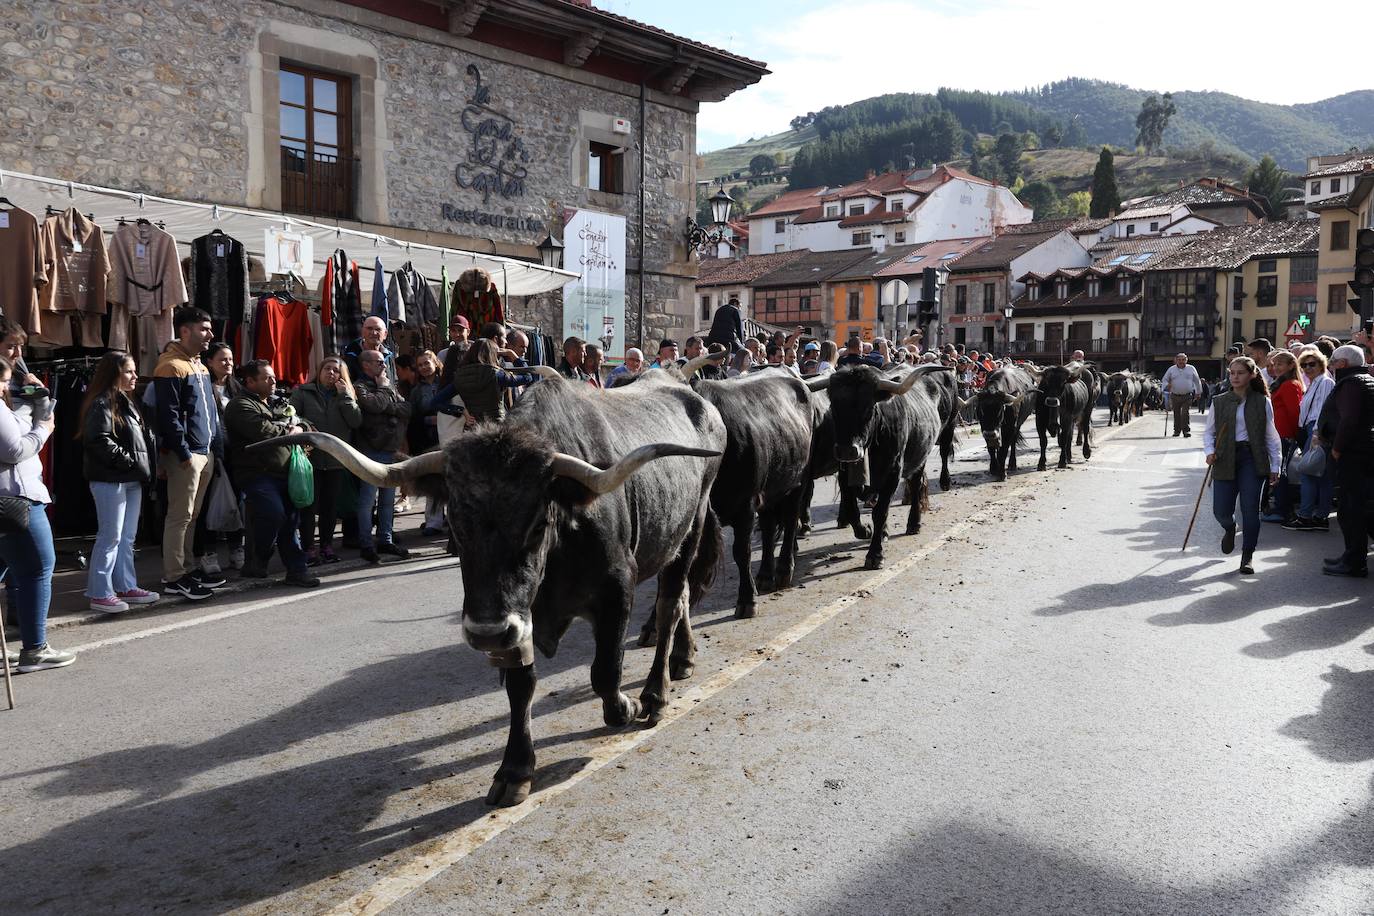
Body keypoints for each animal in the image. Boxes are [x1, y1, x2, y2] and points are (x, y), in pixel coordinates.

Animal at [261, 368, 725, 807]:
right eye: (453, 523)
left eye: (537, 523)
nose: (485, 633)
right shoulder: (515, 619)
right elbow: (521, 687)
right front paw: (514, 770)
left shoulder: (617, 589)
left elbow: (605, 672)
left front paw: (627, 707)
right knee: (681, 600)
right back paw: (683, 658)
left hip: (690, 528)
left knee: (669, 604)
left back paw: (657, 691)